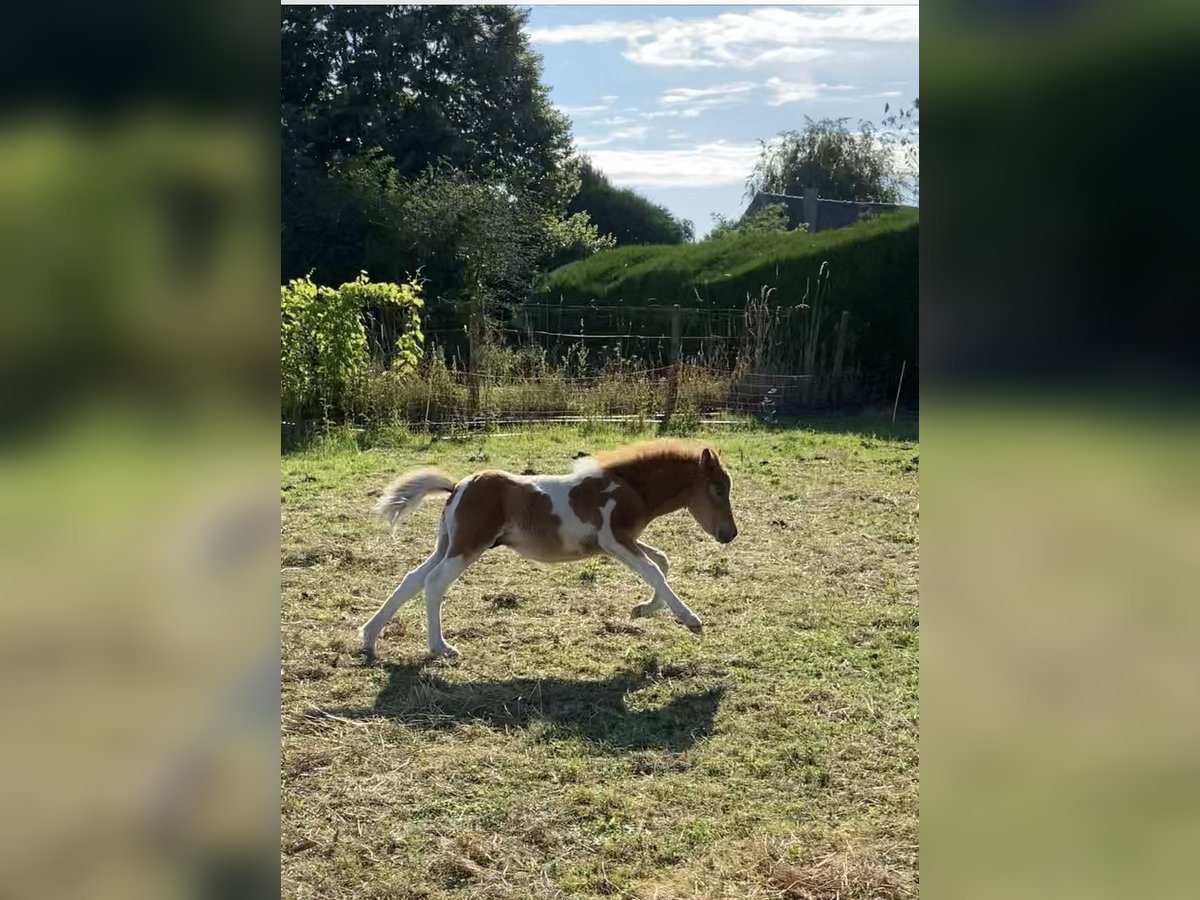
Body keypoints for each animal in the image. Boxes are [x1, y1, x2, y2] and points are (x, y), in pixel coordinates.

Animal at [355, 444, 734, 662]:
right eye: (718, 490)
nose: (729, 534)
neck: (631, 488)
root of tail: (458, 486)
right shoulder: (614, 540)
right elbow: (654, 569)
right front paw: (691, 620)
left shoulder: (621, 541)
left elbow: (661, 562)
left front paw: (641, 609)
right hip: (468, 546)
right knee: (433, 583)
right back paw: (440, 648)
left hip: (448, 544)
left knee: (413, 579)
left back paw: (369, 638)